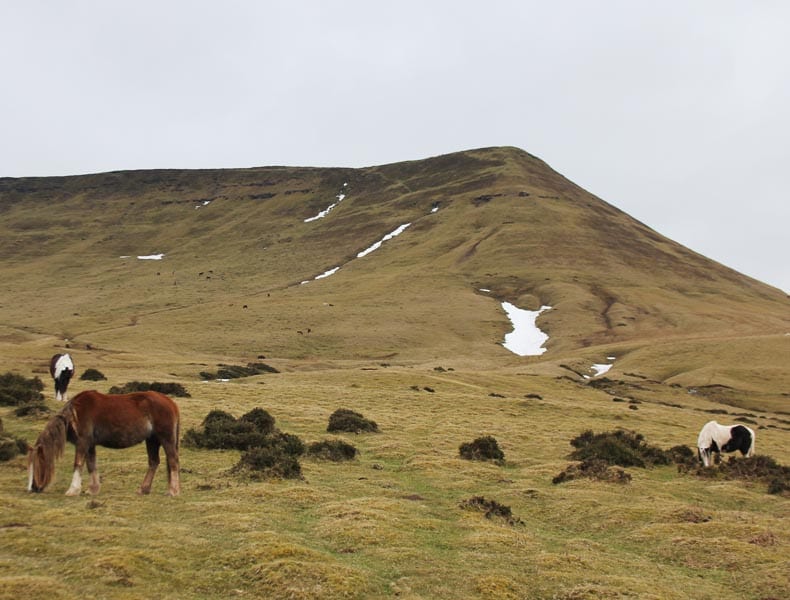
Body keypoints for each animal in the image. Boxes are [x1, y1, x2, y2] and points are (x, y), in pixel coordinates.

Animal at [27, 390, 180, 496]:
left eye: (37, 464)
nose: (32, 488)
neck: (74, 414)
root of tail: (170, 402)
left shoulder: (82, 442)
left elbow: (78, 464)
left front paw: (73, 490)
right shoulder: (90, 445)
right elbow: (91, 465)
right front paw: (92, 490)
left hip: (166, 439)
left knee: (173, 462)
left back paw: (173, 491)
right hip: (152, 440)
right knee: (154, 462)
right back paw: (143, 489)